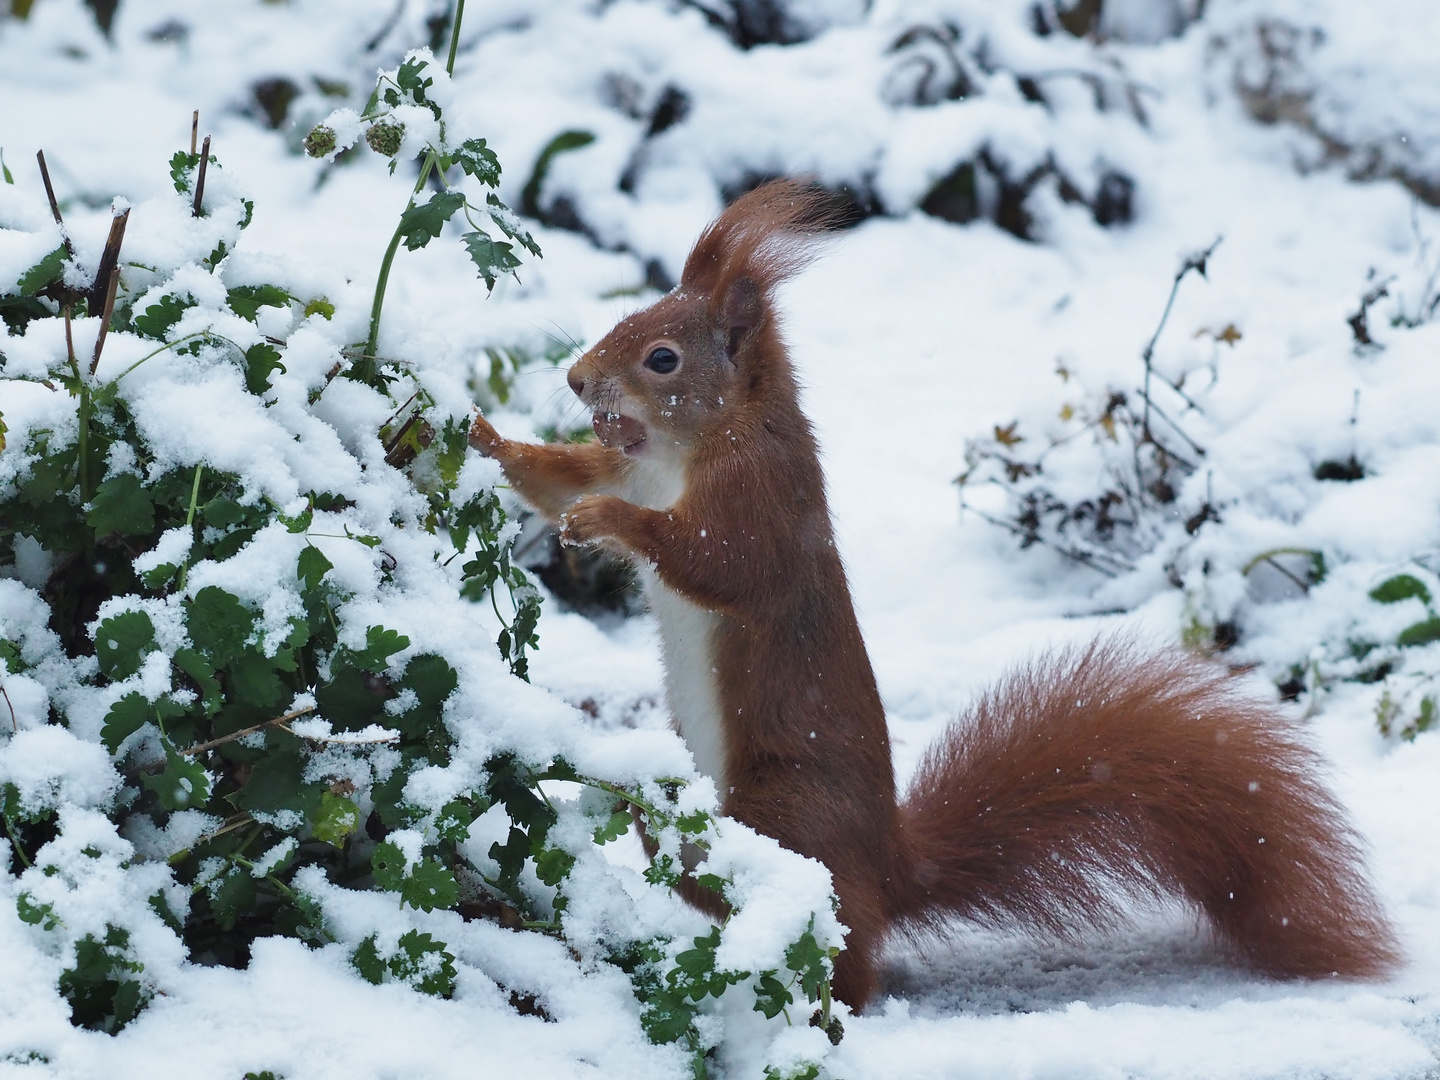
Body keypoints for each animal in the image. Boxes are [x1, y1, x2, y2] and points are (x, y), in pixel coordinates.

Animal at [472, 180, 1393, 1013]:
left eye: (662, 356)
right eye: (627, 319)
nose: (577, 379)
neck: (687, 448)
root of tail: (892, 870)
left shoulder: (762, 504)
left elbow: (718, 563)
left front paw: (607, 521)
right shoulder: (628, 463)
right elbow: (554, 479)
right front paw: (483, 435)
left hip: (786, 813)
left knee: (843, 956)